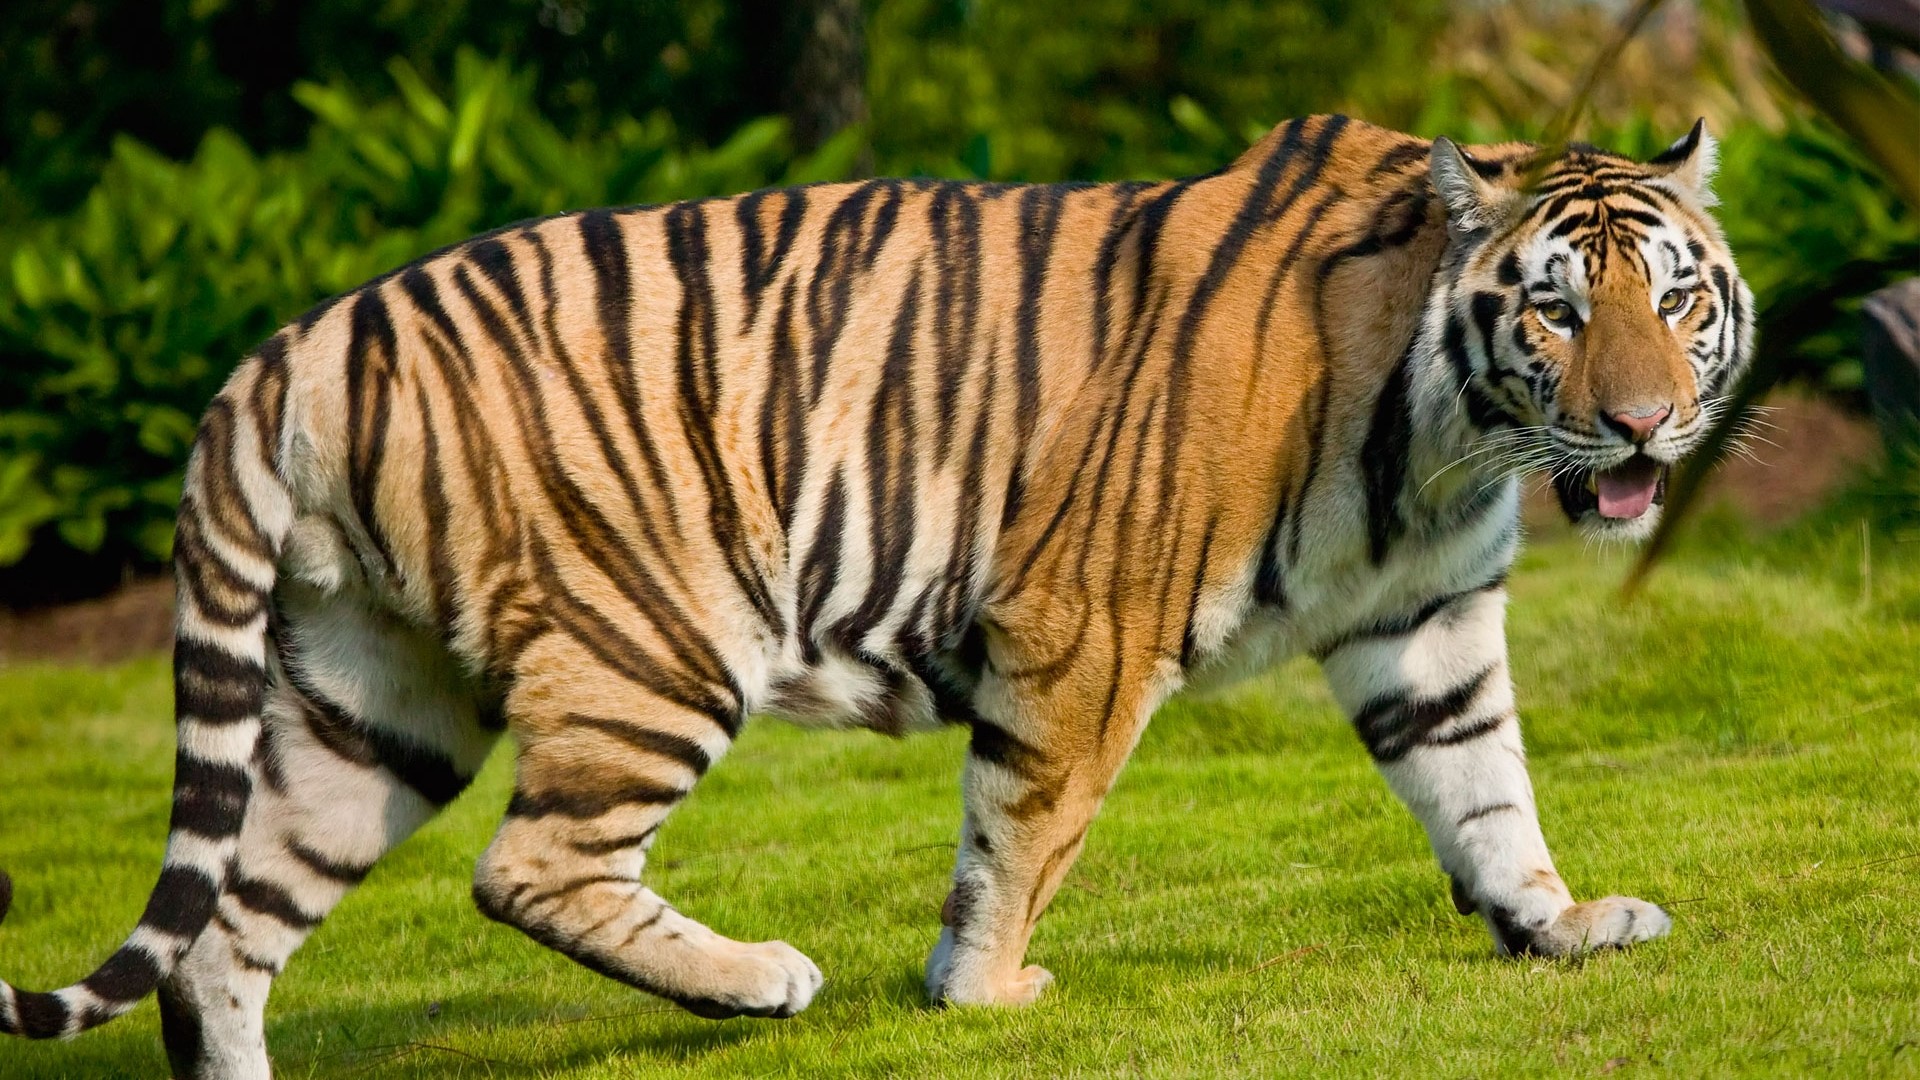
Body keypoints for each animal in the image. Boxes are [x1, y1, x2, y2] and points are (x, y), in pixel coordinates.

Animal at [0, 113, 1750, 1078]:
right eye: (1555, 313)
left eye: (1675, 303)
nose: (1646, 426)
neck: (1447, 442)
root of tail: (287, 344)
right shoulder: (1084, 625)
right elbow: (1026, 828)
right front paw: (984, 993)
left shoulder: (1425, 622)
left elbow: (1486, 785)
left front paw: (1559, 924)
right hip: (657, 642)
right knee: (524, 866)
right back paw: (762, 981)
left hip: (376, 698)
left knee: (229, 933)